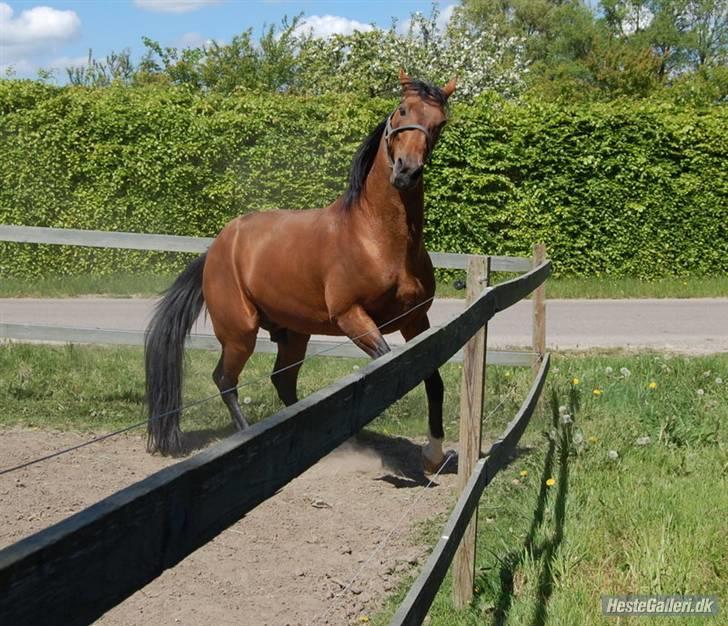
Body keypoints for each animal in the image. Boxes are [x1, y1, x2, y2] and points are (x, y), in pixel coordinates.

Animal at [144, 69, 456, 468]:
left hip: (293, 335)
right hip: (240, 334)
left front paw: (433, 453)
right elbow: (389, 365)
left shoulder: (416, 320)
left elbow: (433, 377)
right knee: (225, 381)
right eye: (402, 110)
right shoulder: (352, 316)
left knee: (282, 382)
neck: (378, 237)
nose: (406, 172)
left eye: (440, 122)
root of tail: (216, 248)